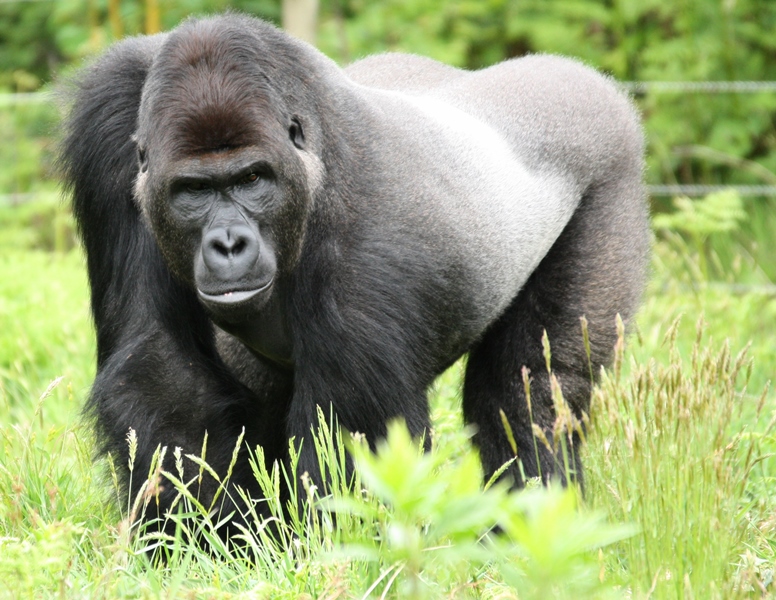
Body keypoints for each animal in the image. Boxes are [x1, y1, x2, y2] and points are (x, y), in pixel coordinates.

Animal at [59, 12, 648, 536]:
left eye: (252, 179)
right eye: (194, 191)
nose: (228, 244)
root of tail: (583, 77)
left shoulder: (366, 235)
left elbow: (348, 445)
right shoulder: (109, 124)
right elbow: (160, 365)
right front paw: (202, 538)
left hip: (611, 166)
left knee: (531, 394)